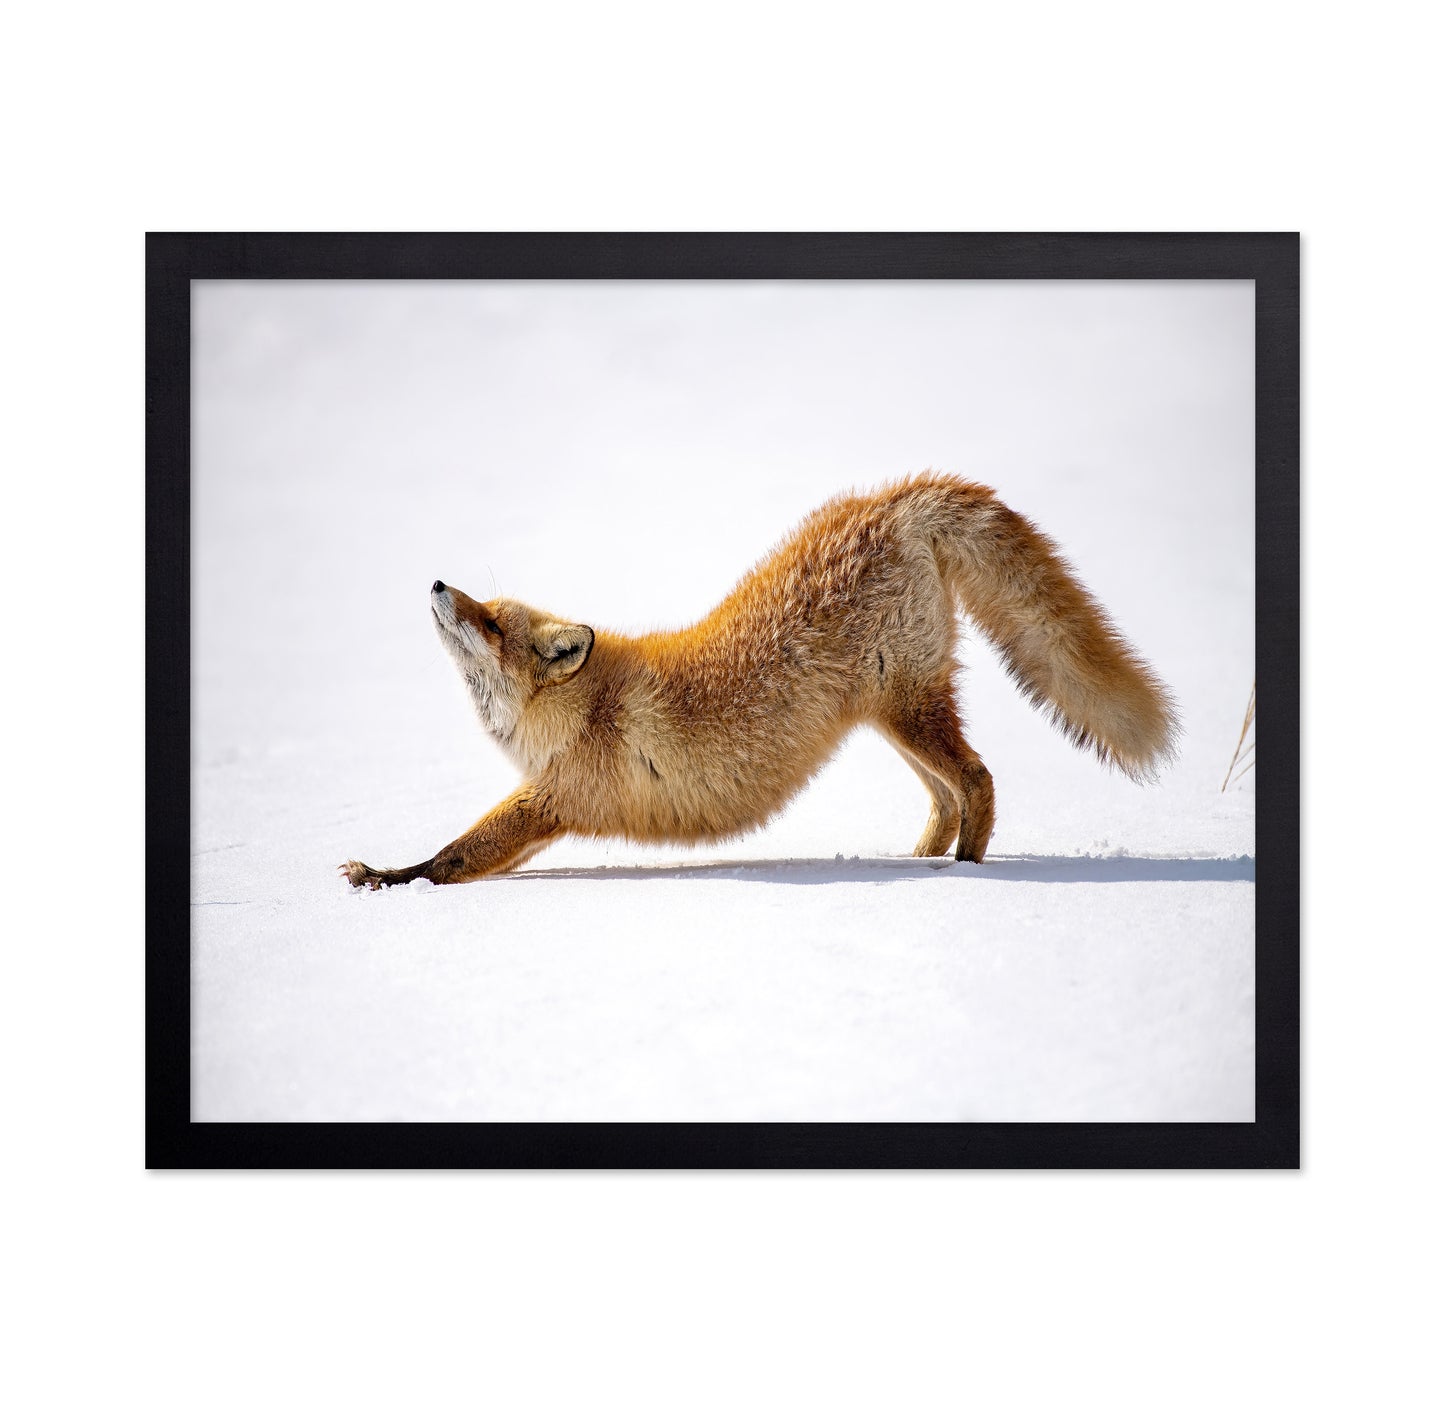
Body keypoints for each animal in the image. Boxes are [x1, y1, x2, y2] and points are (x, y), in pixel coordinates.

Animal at [341, 472, 1179, 889]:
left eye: (490, 624)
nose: (438, 584)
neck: (584, 708)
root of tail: (890, 499)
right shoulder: (554, 800)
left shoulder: (553, 798)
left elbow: (452, 856)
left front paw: (389, 877)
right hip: (889, 715)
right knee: (948, 795)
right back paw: (921, 862)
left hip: (906, 708)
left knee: (978, 781)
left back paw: (963, 880)